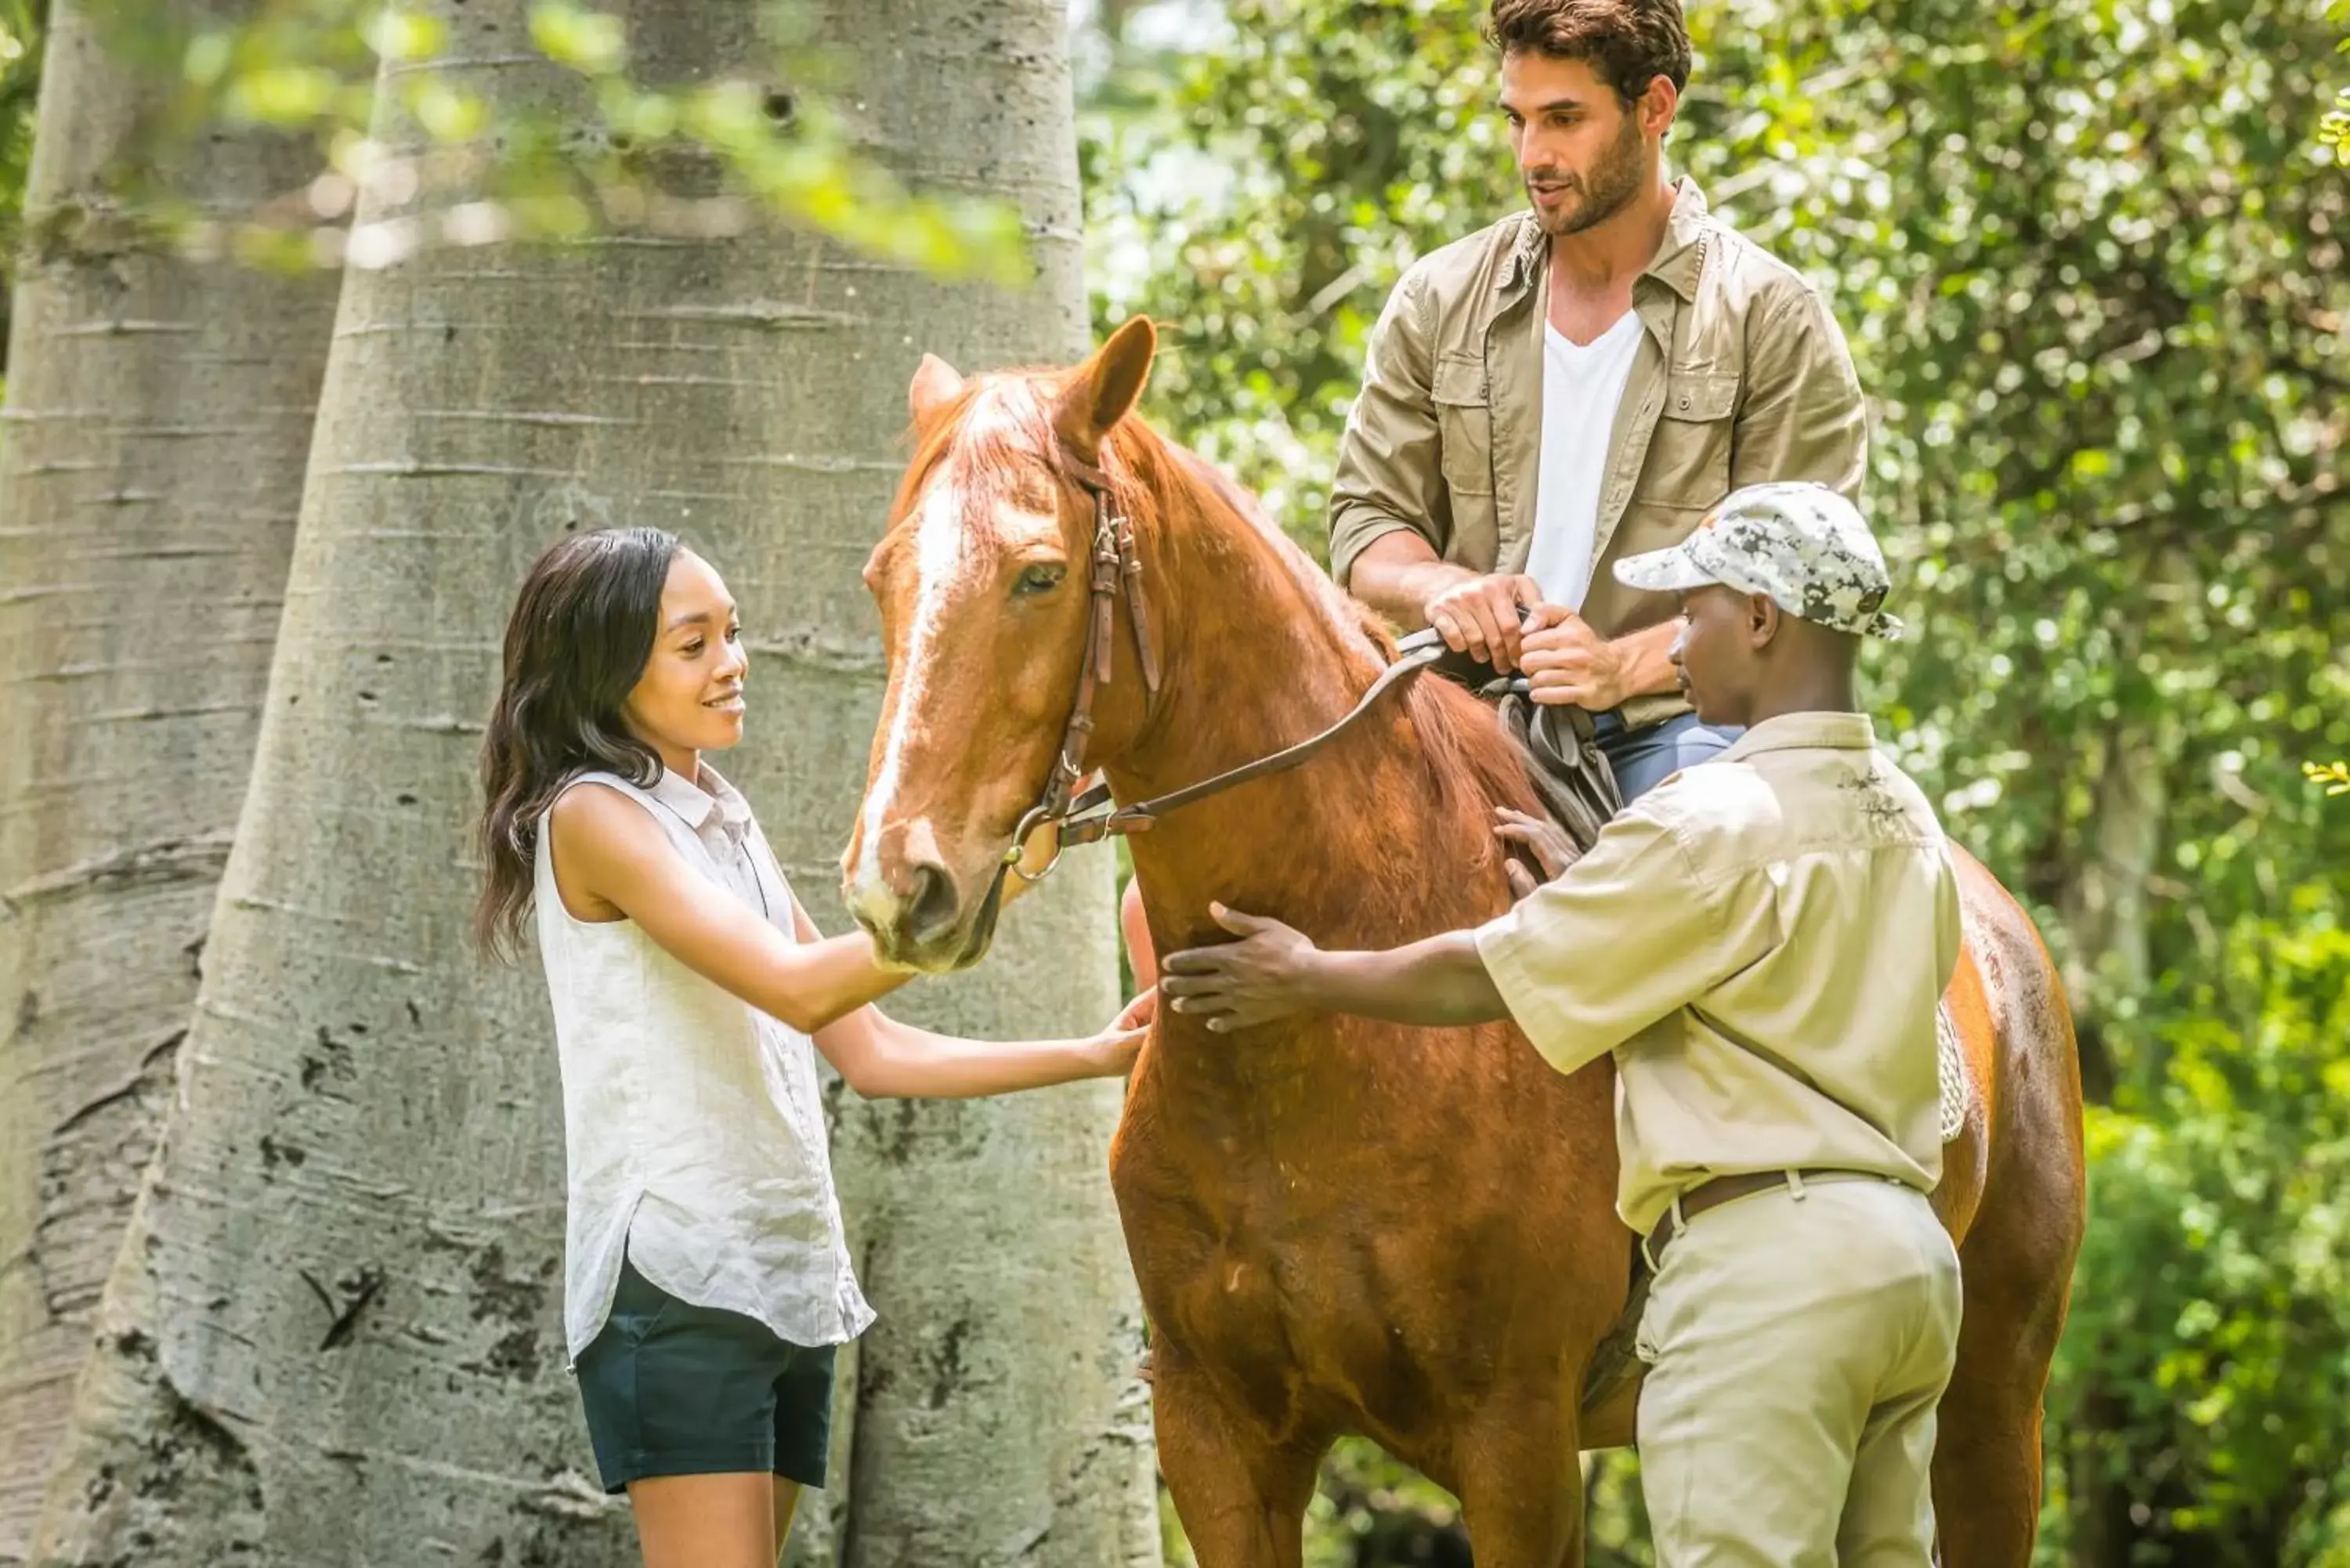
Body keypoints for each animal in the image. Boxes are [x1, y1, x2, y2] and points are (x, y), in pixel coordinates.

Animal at [851, 313, 2096, 1560]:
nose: (897, 880)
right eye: (883, 578)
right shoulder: (1216, 1434)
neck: (1302, 1062)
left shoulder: (1515, 1440)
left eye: (1041, 573)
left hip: (1992, 1410)